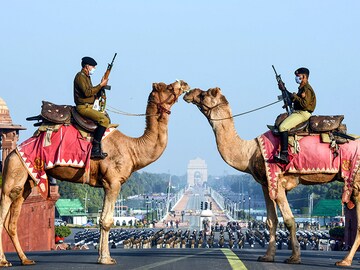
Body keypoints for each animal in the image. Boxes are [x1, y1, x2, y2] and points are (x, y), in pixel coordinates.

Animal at [0, 79, 190, 266]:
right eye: (168, 87)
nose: (184, 83)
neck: (132, 148)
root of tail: (13, 152)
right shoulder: (113, 182)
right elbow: (106, 221)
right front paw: (106, 259)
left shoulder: (106, 183)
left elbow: (102, 219)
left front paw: (102, 256)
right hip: (15, 170)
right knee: (5, 210)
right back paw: (4, 261)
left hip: (26, 180)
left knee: (14, 218)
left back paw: (25, 259)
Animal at [184, 87, 360, 266]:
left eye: (203, 94)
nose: (188, 93)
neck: (250, 151)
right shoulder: (266, 183)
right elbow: (271, 220)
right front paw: (268, 256)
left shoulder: (278, 181)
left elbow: (289, 220)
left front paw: (294, 257)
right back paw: (345, 259)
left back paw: (345, 261)